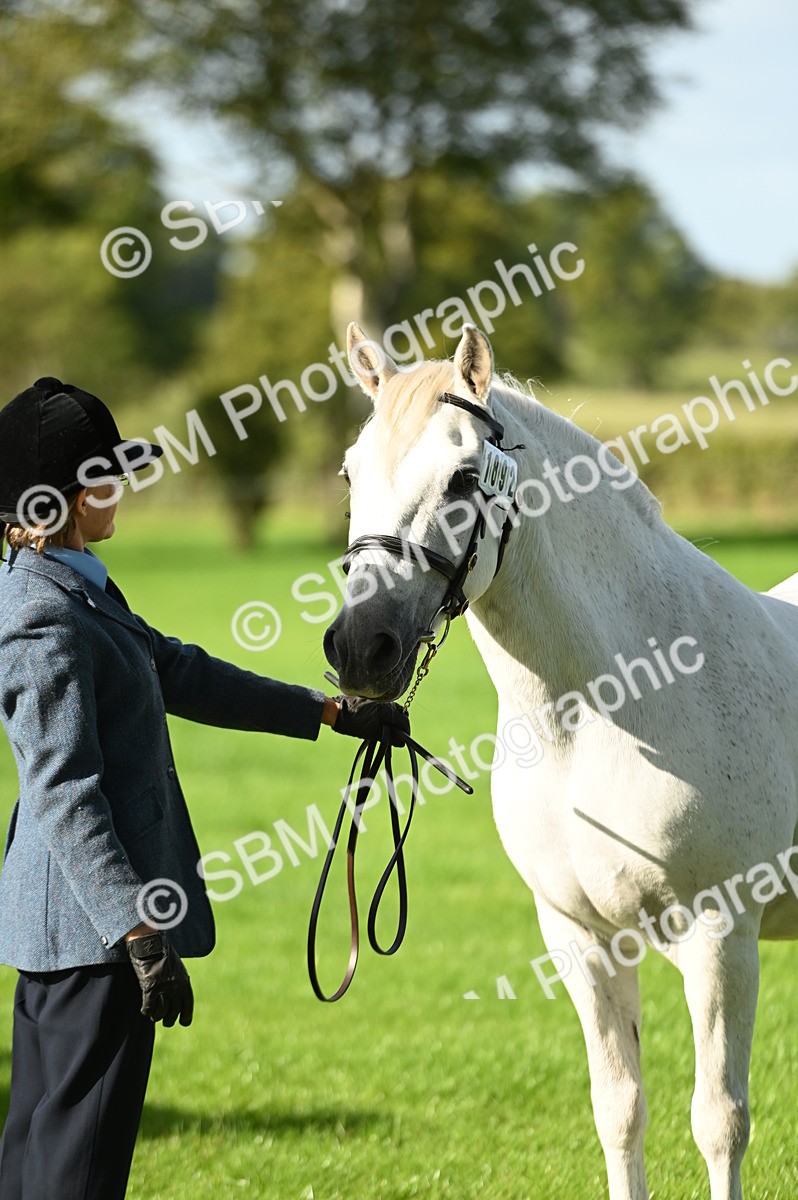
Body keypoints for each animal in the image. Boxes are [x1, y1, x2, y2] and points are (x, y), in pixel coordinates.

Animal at [323, 322, 798, 1200]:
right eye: (350, 473)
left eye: (463, 476)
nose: (360, 647)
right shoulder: (581, 938)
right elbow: (620, 1111)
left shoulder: (722, 937)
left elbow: (720, 1121)